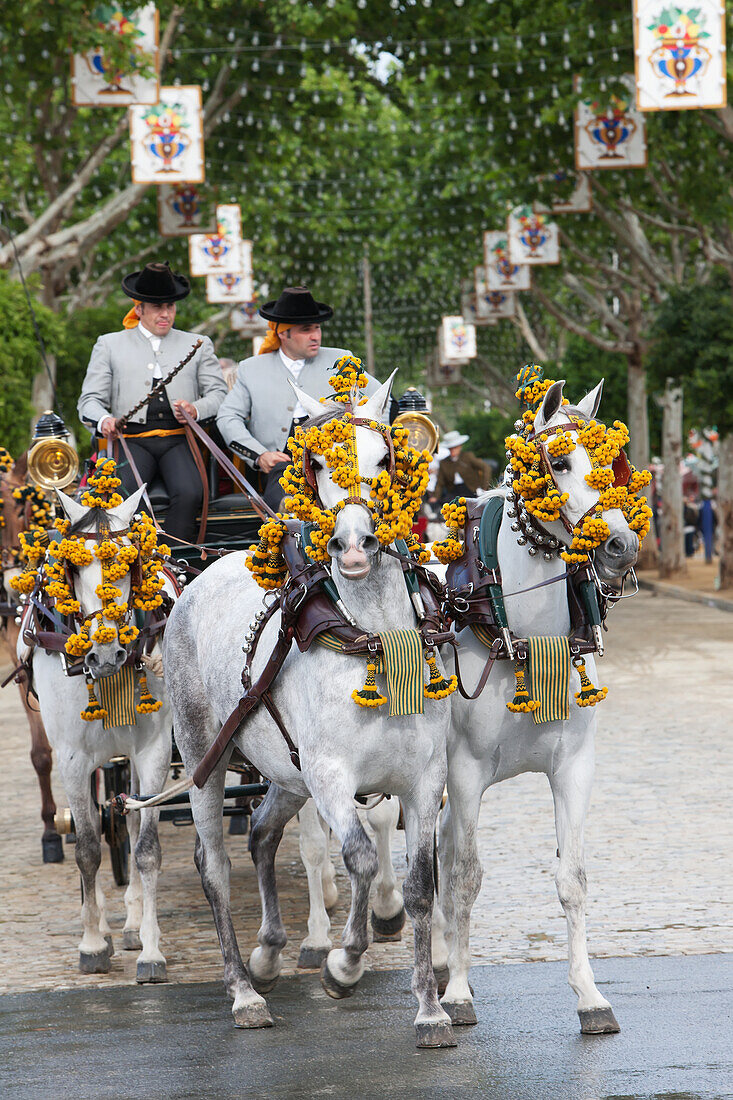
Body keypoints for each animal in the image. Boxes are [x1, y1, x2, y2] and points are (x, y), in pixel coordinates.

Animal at [23, 490, 172, 981]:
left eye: (131, 566)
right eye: (74, 569)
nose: (105, 652)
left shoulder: (154, 750)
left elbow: (146, 848)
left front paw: (151, 951)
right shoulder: (71, 757)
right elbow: (88, 848)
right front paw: (91, 944)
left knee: (128, 818)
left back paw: (132, 923)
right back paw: (105, 926)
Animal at [162, 378, 453, 1047]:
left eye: (385, 457)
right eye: (317, 463)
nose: (353, 545)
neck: (374, 640)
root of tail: (203, 571)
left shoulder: (424, 780)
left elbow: (421, 882)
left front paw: (430, 1007)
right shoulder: (330, 776)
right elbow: (361, 858)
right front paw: (344, 963)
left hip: (285, 773)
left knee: (262, 831)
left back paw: (268, 955)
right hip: (205, 757)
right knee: (214, 865)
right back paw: (243, 991)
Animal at [433, 378, 638, 1029]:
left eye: (613, 464)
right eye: (561, 463)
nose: (620, 545)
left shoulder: (574, 766)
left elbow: (571, 877)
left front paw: (590, 996)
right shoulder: (466, 772)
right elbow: (467, 877)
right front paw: (458, 995)